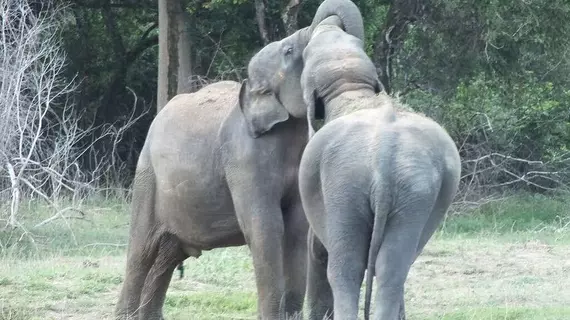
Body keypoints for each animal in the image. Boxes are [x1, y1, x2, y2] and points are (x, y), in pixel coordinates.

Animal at [113, 0, 366, 318]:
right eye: (289, 51)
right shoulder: (244, 158)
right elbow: (266, 227)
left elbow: (296, 227)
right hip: (147, 176)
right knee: (143, 250)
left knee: (167, 255)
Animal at [296, 16, 460, 320]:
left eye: (306, 55)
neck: (354, 91)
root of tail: (384, 155)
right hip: (413, 192)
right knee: (392, 267)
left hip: (344, 184)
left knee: (346, 268)